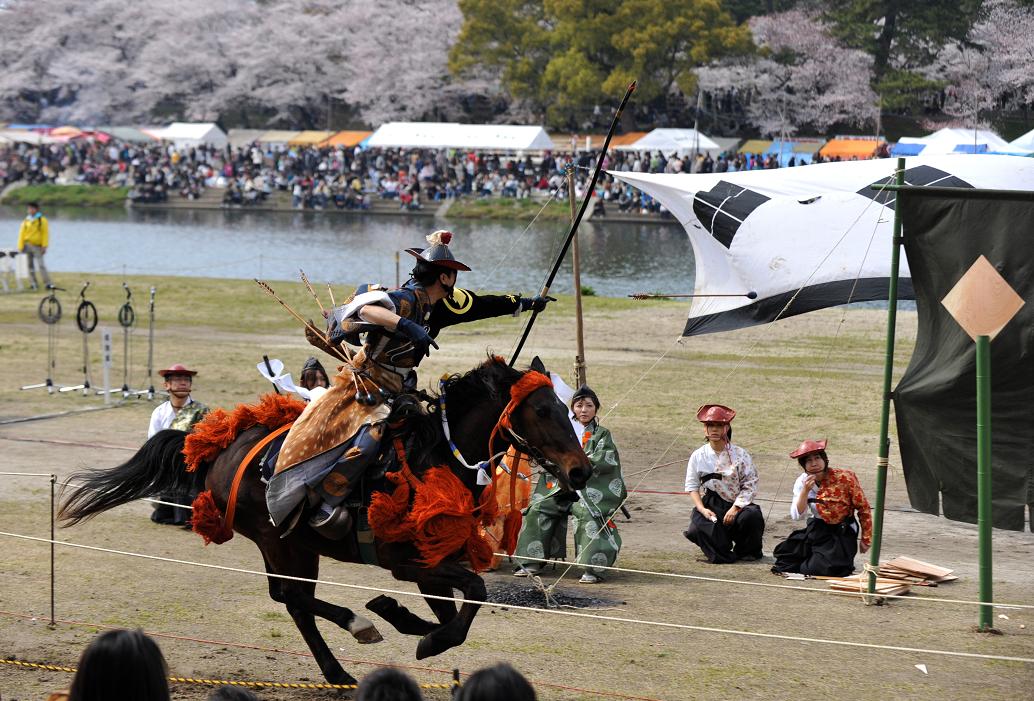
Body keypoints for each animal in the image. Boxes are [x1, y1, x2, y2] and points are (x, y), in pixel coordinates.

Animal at [58, 357, 591, 686]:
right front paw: (416, 633)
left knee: (293, 599)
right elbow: (470, 599)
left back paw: (345, 659)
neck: (436, 458)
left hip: (298, 544)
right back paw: (357, 631)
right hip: (275, 537)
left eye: (567, 409)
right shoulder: (407, 561)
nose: (580, 471)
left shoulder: (434, 563)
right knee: (293, 598)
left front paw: (407, 620)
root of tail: (217, 446)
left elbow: (456, 611)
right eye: (543, 411)